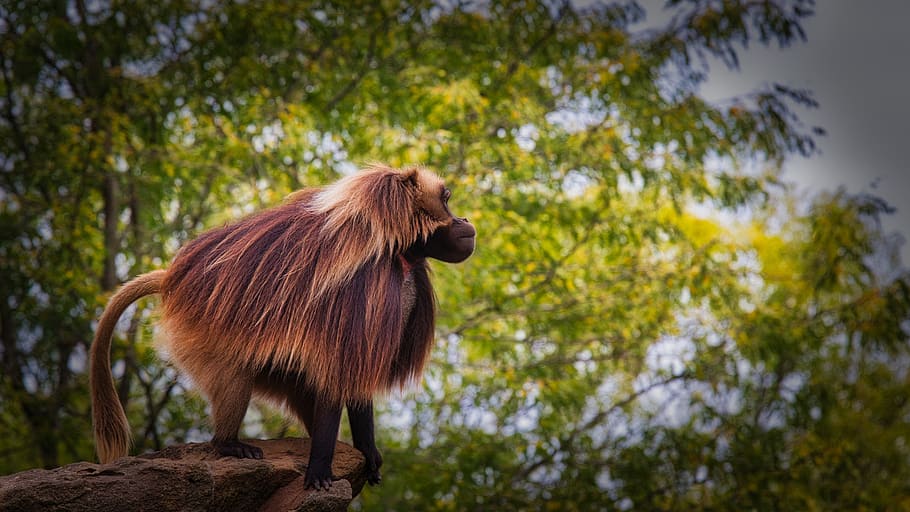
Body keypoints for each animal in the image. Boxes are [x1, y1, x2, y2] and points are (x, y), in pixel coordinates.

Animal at [90, 164, 476, 490]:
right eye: (445, 200)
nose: (466, 219)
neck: (399, 251)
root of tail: (172, 279)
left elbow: (353, 380)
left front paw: (369, 454)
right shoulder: (363, 287)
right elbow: (340, 371)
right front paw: (319, 471)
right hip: (200, 330)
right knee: (235, 379)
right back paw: (229, 445)